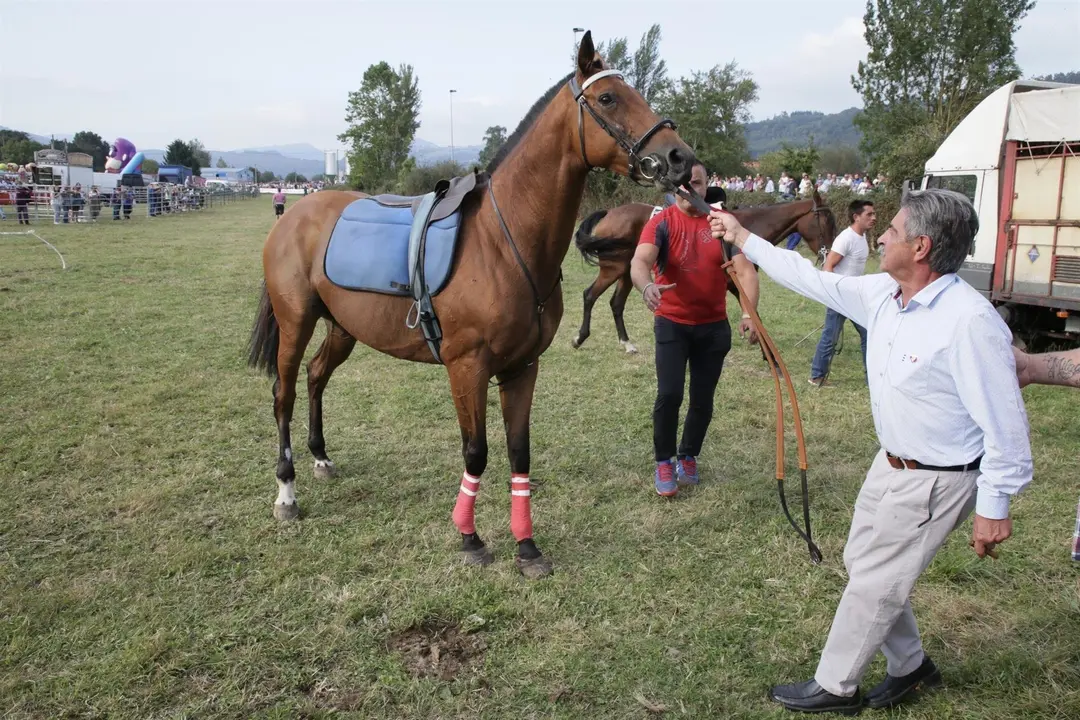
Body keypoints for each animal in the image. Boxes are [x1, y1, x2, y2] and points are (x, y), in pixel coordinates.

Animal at [245, 31, 697, 579]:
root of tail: (294, 214)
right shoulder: (467, 367)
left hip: (343, 328)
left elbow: (520, 452)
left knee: (315, 377)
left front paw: (527, 547)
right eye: (609, 98)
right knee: (284, 393)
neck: (503, 241)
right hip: (296, 322)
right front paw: (470, 537)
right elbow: (476, 451)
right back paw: (287, 492)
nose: (680, 157)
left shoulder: (523, 367)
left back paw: (321, 458)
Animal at [570, 190, 837, 353]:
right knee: (589, 295)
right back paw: (580, 337)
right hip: (613, 269)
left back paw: (627, 344)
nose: (830, 252)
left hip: (627, 272)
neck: (746, 228)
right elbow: (755, 315)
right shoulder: (734, 283)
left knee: (616, 303)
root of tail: (610, 213)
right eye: (828, 222)